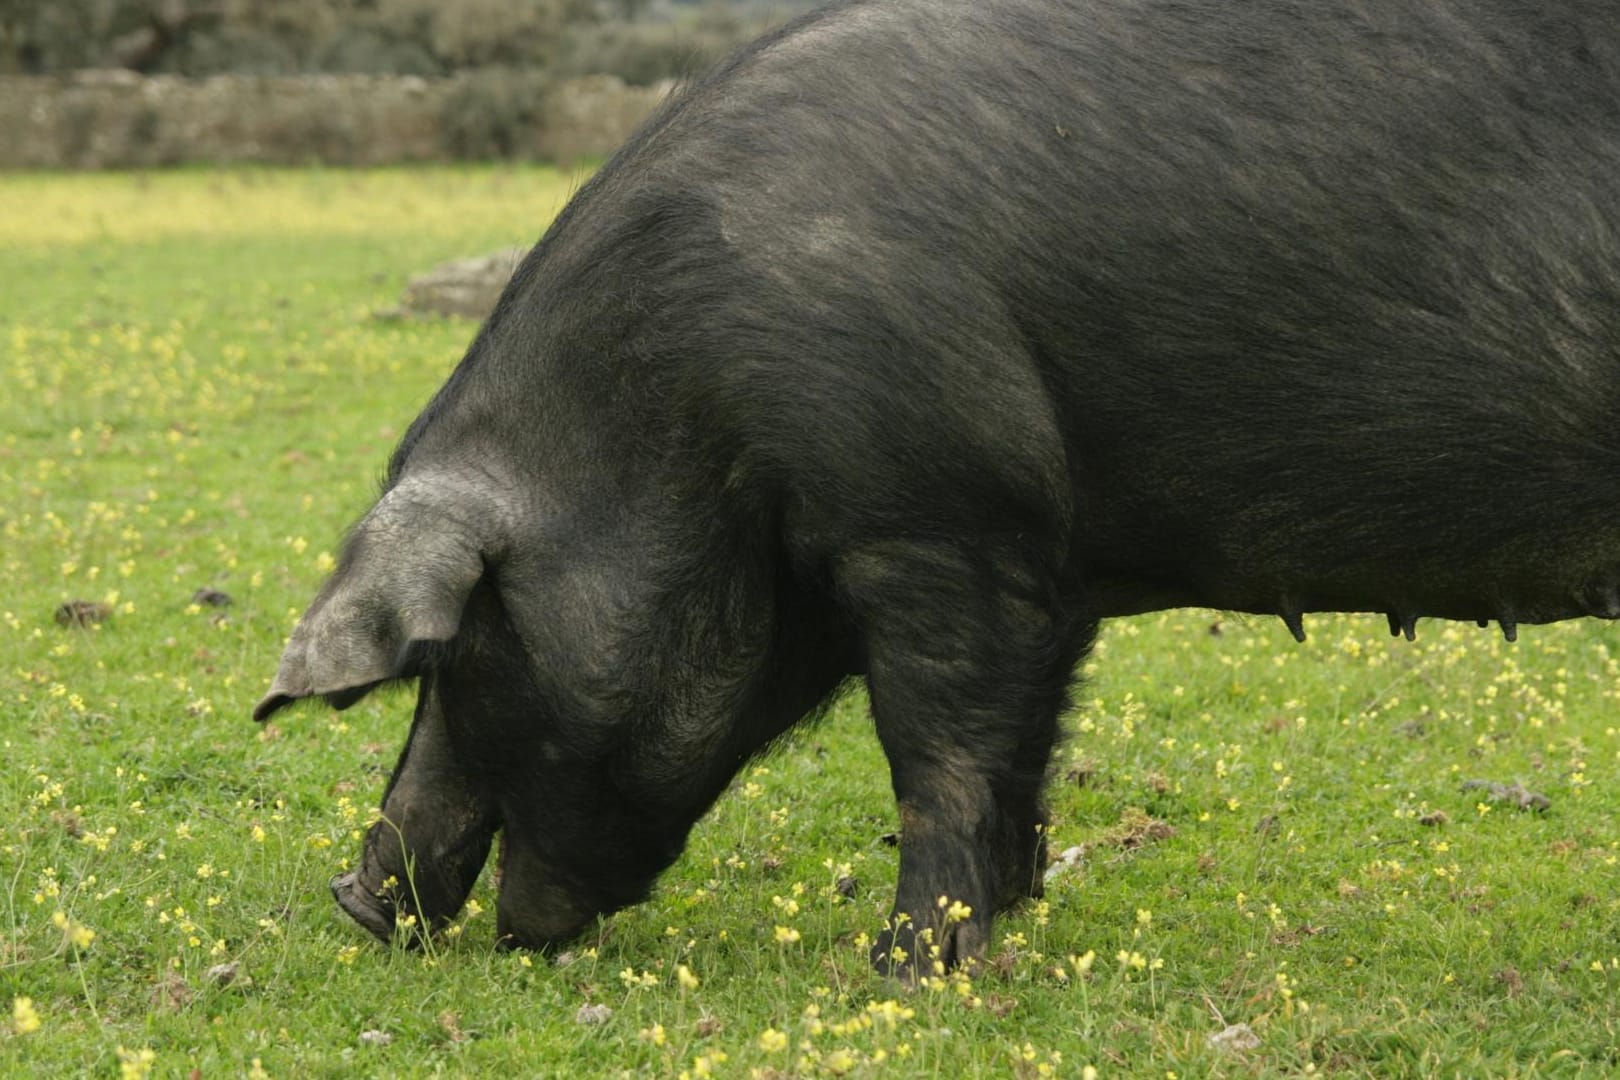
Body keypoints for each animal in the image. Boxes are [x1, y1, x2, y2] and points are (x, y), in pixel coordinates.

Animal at [252, 0, 1620, 977]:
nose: (353, 900)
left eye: (469, 647)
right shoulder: (1046, 568)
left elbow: (937, 748)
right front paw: (1006, 916)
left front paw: (910, 970)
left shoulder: (937, 519)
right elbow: (1022, 751)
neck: (690, 407)